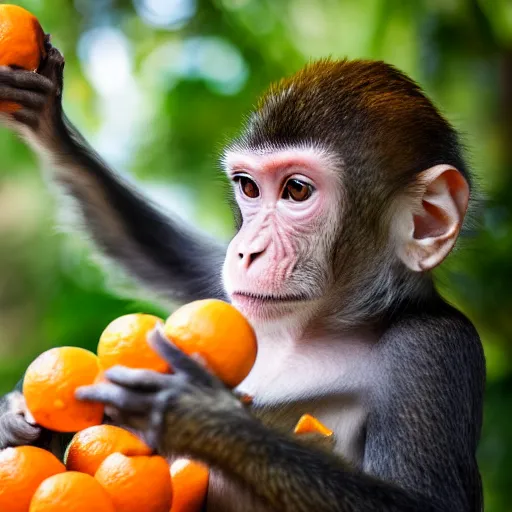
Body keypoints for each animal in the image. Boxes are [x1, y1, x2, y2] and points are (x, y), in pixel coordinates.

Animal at [0, 43, 484, 512]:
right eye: (249, 187)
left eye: (296, 190)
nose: (245, 250)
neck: (320, 326)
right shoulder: (221, 288)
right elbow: (164, 252)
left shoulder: (432, 347)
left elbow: (427, 501)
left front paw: (199, 414)